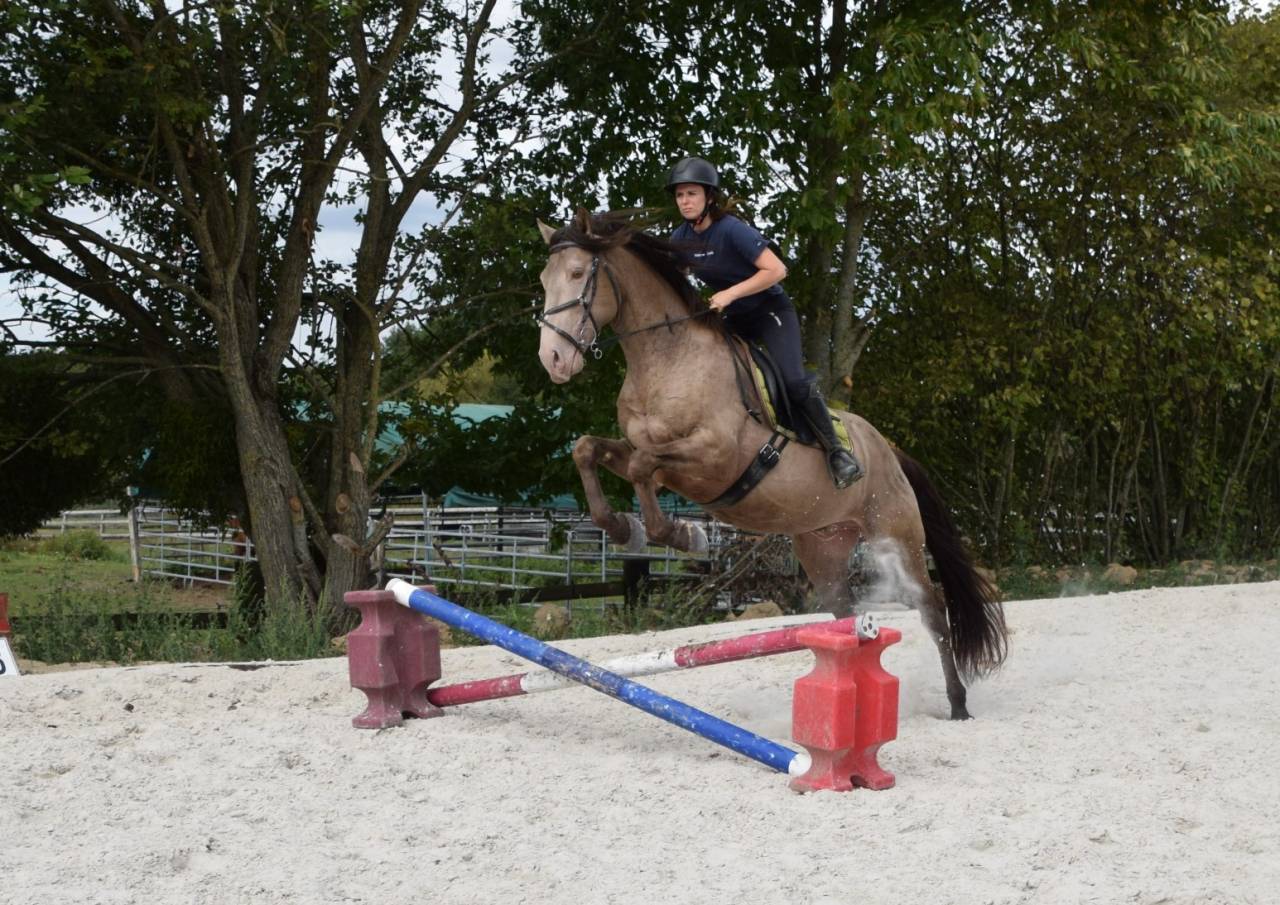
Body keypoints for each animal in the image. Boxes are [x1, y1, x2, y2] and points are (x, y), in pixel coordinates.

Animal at [535, 210, 1007, 719]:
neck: (666, 360)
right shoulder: (649, 454)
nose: (553, 359)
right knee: (847, 616)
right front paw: (623, 527)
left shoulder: (714, 456)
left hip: (895, 537)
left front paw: (681, 534)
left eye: (577, 274)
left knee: (932, 607)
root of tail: (889, 451)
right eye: (544, 279)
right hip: (824, 548)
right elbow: (589, 450)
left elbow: (644, 467)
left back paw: (958, 704)